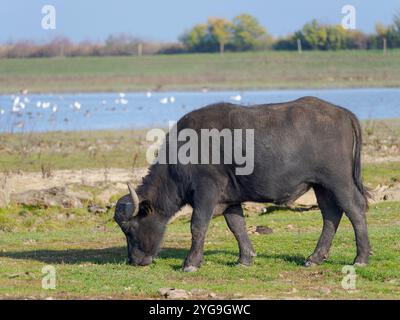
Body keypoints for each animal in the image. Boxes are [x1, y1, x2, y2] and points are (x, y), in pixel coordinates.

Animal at [114, 96, 370, 272]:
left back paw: (361, 258)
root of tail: (342, 113)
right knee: (331, 215)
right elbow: (236, 226)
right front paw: (245, 258)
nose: (133, 261)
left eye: (130, 229)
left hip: (338, 181)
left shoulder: (206, 191)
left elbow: (198, 225)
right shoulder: (229, 199)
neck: (185, 151)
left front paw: (191, 262)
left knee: (355, 209)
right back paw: (314, 258)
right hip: (321, 186)